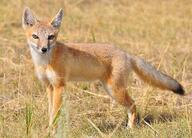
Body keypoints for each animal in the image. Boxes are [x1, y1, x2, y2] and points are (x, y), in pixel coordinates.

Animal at [22, 7, 184, 128]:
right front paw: (49, 129)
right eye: (35, 36)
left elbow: (55, 113)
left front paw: (53, 130)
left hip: (115, 91)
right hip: (110, 90)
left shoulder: (59, 86)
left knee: (133, 104)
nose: (43, 49)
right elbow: (50, 112)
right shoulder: (49, 87)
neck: (45, 62)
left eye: (50, 37)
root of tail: (125, 53)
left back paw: (130, 129)